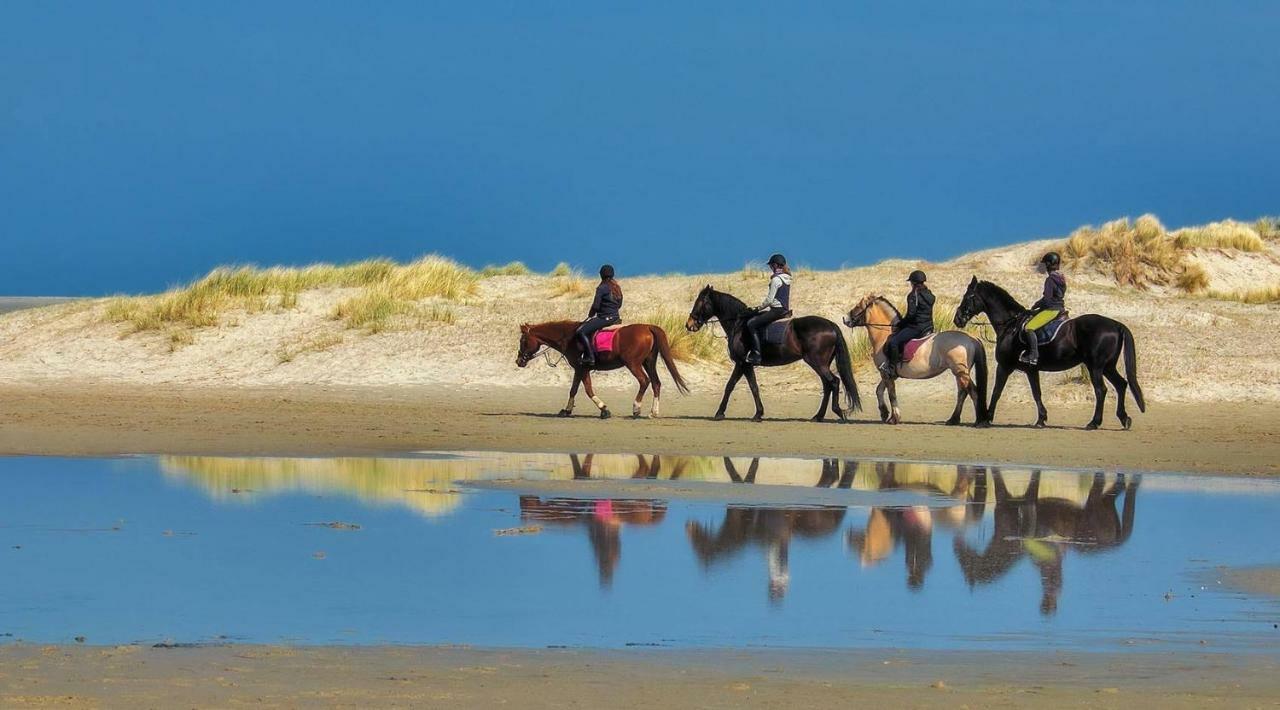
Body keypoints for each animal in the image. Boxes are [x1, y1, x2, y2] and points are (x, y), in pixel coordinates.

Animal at [514, 321, 691, 417]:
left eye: (523, 341)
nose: (518, 361)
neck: (569, 337)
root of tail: (647, 327)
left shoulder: (581, 368)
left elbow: (587, 390)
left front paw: (604, 409)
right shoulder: (580, 369)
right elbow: (574, 389)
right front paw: (567, 410)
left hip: (633, 364)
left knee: (644, 381)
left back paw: (636, 408)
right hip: (649, 362)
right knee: (656, 383)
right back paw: (653, 412)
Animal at [680, 289, 860, 422]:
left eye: (700, 302)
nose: (689, 325)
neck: (739, 325)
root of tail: (830, 324)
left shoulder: (742, 363)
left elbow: (731, 386)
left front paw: (720, 413)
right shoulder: (746, 365)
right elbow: (753, 387)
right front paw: (758, 413)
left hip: (817, 362)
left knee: (833, 382)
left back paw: (837, 412)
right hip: (821, 363)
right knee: (827, 384)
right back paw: (818, 416)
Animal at [849, 295, 988, 427]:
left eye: (858, 306)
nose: (846, 319)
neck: (884, 336)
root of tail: (972, 338)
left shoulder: (886, 373)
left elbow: (891, 394)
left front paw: (894, 418)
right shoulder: (889, 374)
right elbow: (879, 390)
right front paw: (884, 413)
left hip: (960, 371)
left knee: (972, 392)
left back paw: (979, 421)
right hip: (960, 373)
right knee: (963, 392)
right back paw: (954, 419)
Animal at [952, 278, 1152, 429]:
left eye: (968, 296)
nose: (958, 319)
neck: (1010, 324)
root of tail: (1115, 324)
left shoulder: (1005, 366)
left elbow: (996, 392)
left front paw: (986, 418)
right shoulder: (1031, 370)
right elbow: (1036, 393)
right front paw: (1041, 419)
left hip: (1095, 367)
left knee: (1101, 390)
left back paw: (1094, 423)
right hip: (1107, 367)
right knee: (1121, 385)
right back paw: (1124, 419)